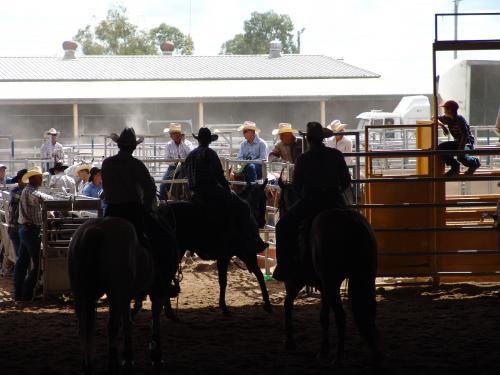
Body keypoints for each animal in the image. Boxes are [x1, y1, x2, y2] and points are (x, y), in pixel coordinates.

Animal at [68, 216, 178, 374]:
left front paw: (128, 358)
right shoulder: (157, 292)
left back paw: (87, 364)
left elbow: (127, 322)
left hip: (81, 294)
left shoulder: (126, 296)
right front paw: (156, 356)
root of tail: (95, 230)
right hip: (115, 292)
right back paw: (112, 364)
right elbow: (155, 319)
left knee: (83, 326)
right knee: (111, 326)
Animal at [278, 179, 378, 368]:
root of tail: (350, 222)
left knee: (341, 316)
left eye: (280, 204)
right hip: (364, 277)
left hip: (331, 282)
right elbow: (323, 316)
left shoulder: (295, 280)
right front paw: (323, 350)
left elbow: (288, 304)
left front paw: (289, 341)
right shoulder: (322, 287)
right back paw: (374, 353)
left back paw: (338, 358)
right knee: (369, 310)